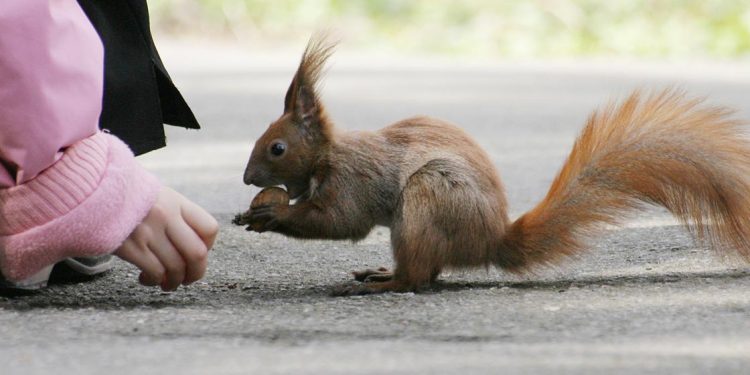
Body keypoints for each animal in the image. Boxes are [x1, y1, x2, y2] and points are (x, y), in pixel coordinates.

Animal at [241, 36, 750, 298]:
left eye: (277, 148)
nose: (246, 178)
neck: (329, 155)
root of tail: (490, 239)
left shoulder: (354, 181)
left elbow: (341, 221)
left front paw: (270, 213)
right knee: (429, 272)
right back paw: (381, 273)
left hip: (429, 199)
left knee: (419, 277)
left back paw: (384, 283)